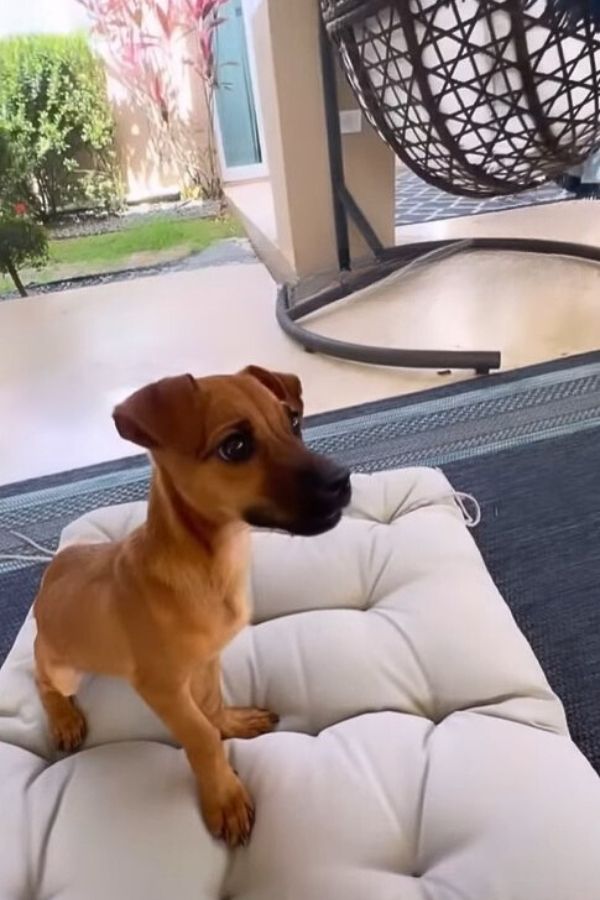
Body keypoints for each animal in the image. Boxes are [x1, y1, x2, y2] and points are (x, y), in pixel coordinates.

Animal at [32, 364, 352, 844]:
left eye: (293, 421)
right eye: (235, 446)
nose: (343, 481)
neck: (209, 565)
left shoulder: (207, 660)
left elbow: (211, 703)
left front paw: (231, 724)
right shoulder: (161, 688)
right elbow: (200, 736)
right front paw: (225, 797)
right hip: (62, 670)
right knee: (42, 680)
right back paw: (63, 719)